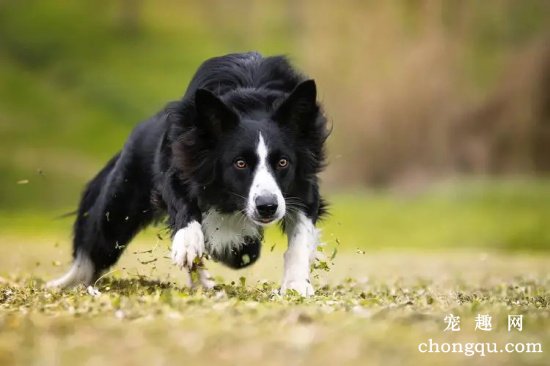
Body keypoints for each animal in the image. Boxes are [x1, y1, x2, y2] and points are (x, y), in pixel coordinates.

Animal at [48, 53, 328, 296]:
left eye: (282, 162)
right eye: (239, 163)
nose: (267, 207)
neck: (251, 100)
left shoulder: (303, 185)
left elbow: (300, 235)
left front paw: (296, 285)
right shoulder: (180, 159)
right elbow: (182, 203)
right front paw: (188, 243)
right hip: (118, 209)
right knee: (93, 250)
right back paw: (64, 284)